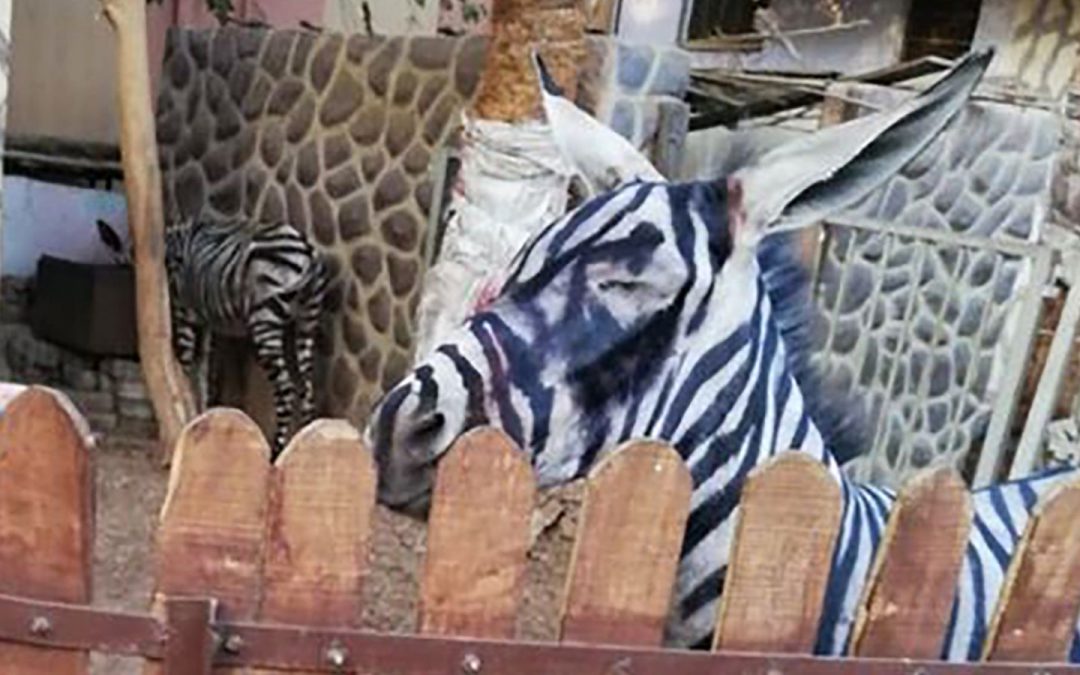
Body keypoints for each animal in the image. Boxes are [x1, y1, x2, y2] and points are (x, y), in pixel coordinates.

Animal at [164, 217, 330, 455]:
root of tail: (308, 253)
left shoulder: (184, 311)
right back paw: (307, 441)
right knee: (307, 390)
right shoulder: (206, 321)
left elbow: (186, 364)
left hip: (265, 322)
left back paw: (277, 448)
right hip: (307, 321)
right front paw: (200, 414)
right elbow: (204, 371)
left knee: (286, 389)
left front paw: (187, 416)